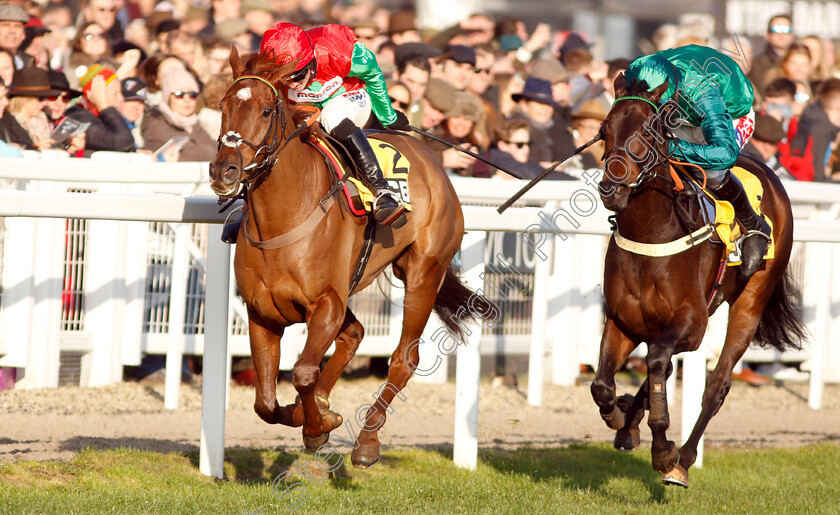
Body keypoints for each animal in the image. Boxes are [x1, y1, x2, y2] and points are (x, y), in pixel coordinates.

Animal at [207, 47, 488, 468]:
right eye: (222, 105)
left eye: (266, 111)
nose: (223, 170)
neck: (282, 219)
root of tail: (433, 161)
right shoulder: (263, 313)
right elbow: (266, 403)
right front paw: (316, 415)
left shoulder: (326, 305)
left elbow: (303, 373)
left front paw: (316, 427)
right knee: (355, 334)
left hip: (424, 272)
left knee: (403, 359)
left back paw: (367, 442)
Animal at [592, 76, 808, 488]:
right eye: (603, 129)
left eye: (649, 131)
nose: (612, 189)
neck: (651, 234)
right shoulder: (623, 321)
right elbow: (604, 384)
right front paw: (620, 416)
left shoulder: (692, 321)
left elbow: (658, 361)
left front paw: (663, 451)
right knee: (662, 366)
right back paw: (630, 426)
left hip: (750, 300)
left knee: (716, 384)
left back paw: (683, 461)